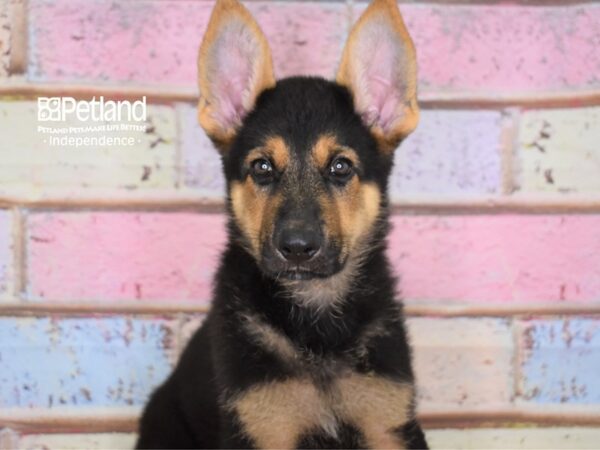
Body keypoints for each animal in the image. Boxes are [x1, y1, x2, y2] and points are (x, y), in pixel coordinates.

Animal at [136, 0, 426, 448]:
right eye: (262, 167)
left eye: (341, 167)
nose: (297, 247)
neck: (316, 318)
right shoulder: (260, 428)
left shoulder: (390, 425)